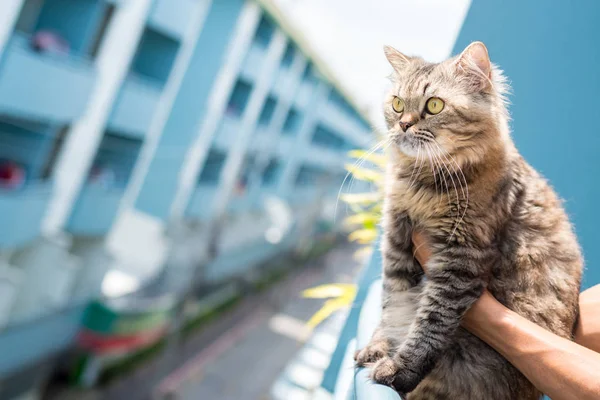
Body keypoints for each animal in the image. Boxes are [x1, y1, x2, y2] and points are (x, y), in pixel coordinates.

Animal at [354, 41, 584, 400]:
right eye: (397, 104)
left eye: (434, 105)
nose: (403, 125)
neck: (423, 181)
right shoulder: (397, 244)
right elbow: (392, 306)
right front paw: (378, 348)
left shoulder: (461, 256)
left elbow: (430, 323)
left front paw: (398, 372)